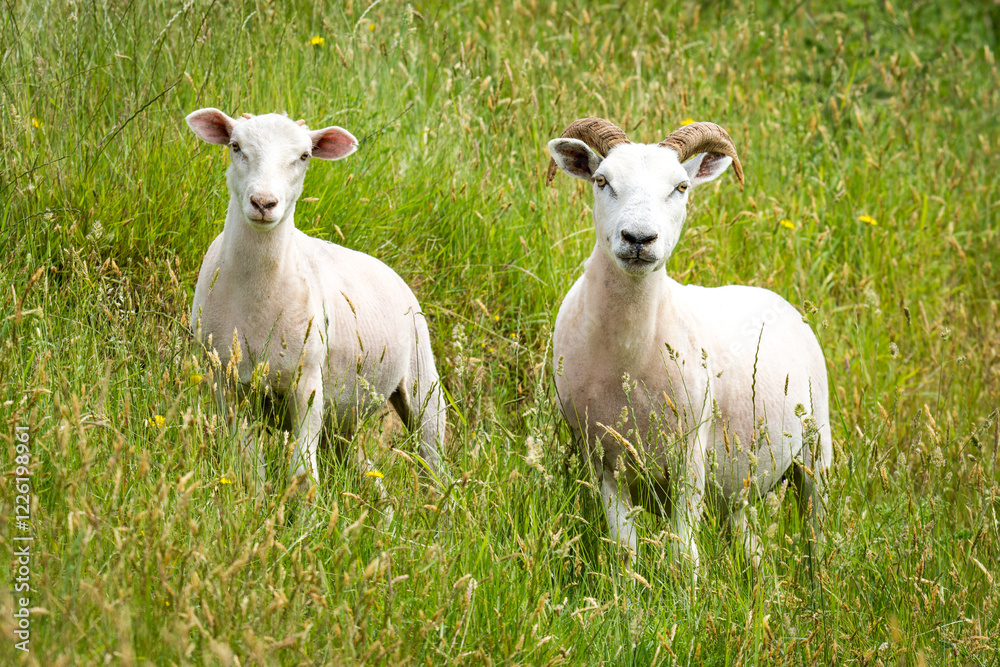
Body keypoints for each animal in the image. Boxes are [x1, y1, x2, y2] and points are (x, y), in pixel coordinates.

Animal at [186, 108, 447, 499]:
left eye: (304, 156)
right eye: (235, 146)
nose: (263, 203)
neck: (255, 298)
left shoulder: (307, 382)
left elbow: (303, 475)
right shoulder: (229, 383)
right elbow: (248, 467)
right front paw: (253, 506)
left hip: (421, 386)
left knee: (434, 465)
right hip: (343, 419)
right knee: (369, 475)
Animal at [547, 118, 832, 571]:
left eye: (680, 187)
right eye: (601, 180)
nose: (639, 238)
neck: (628, 356)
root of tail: (777, 299)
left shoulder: (691, 454)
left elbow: (683, 551)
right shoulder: (602, 459)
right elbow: (625, 548)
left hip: (816, 447)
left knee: (816, 532)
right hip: (740, 480)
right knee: (748, 536)